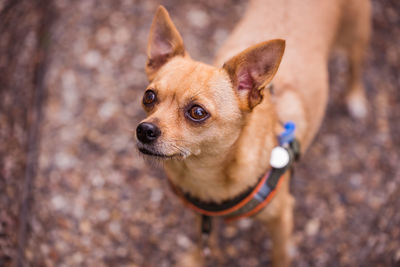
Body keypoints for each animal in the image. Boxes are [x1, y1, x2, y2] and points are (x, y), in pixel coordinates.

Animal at [136, 1, 370, 266]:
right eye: (149, 96)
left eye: (197, 112)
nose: (144, 130)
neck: (205, 176)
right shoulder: (201, 211)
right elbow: (204, 236)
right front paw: (198, 258)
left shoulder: (282, 219)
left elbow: (280, 256)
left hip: (357, 32)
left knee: (356, 62)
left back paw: (355, 98)